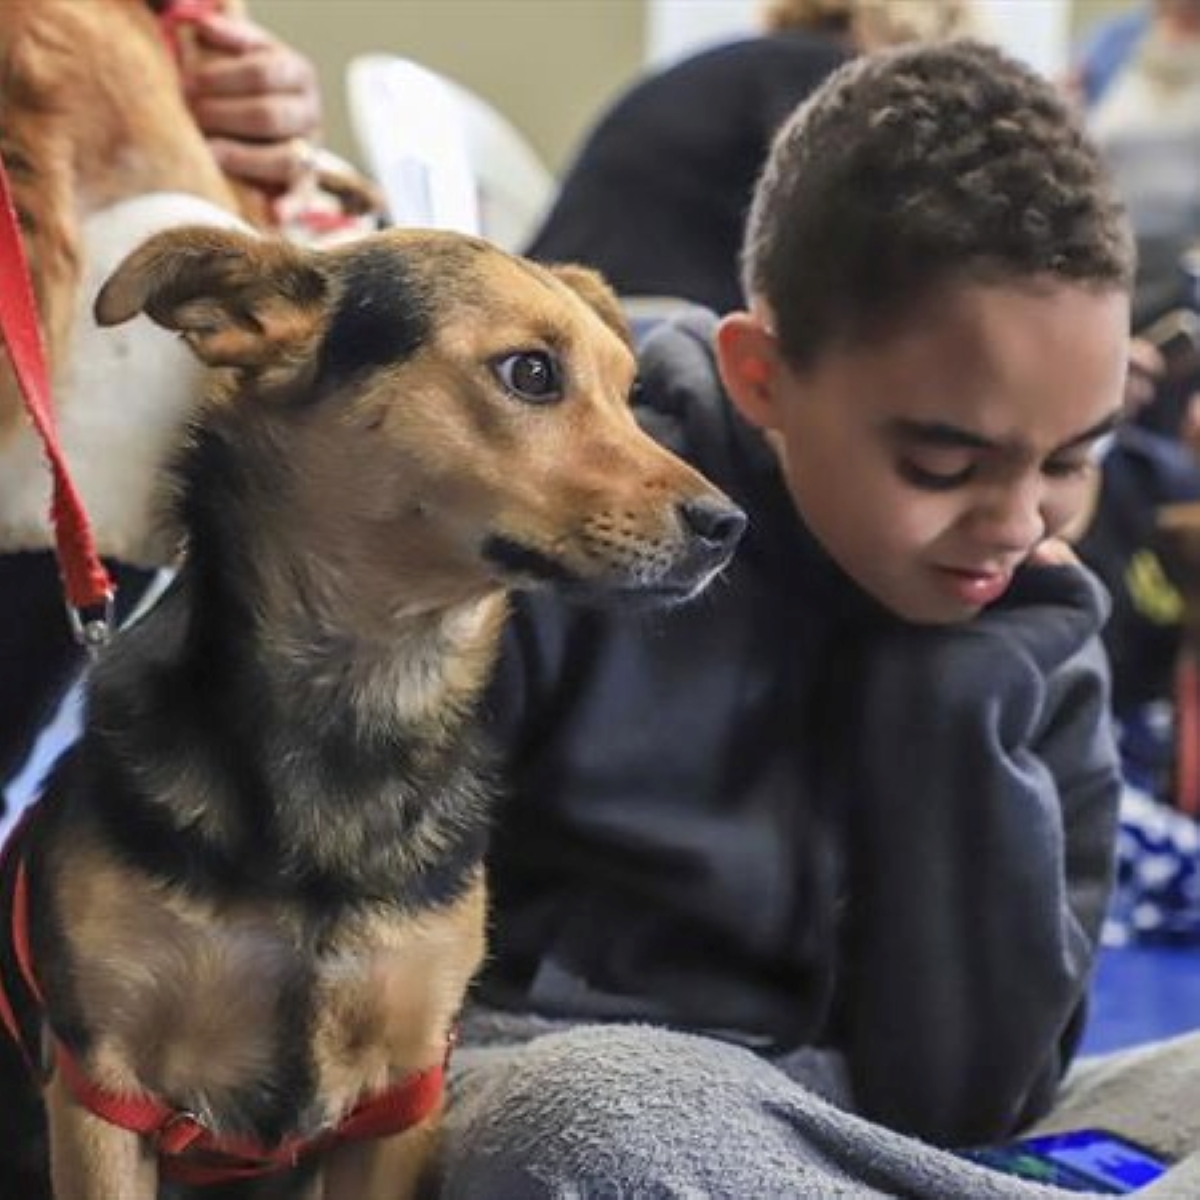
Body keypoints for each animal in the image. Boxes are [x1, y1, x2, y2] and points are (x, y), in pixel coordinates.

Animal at [0, 226, 744, 1200]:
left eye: (631, 396)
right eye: (531, 374)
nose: (729, 526)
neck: (362, 701)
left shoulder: (400, 1094)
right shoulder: (102, 1089)